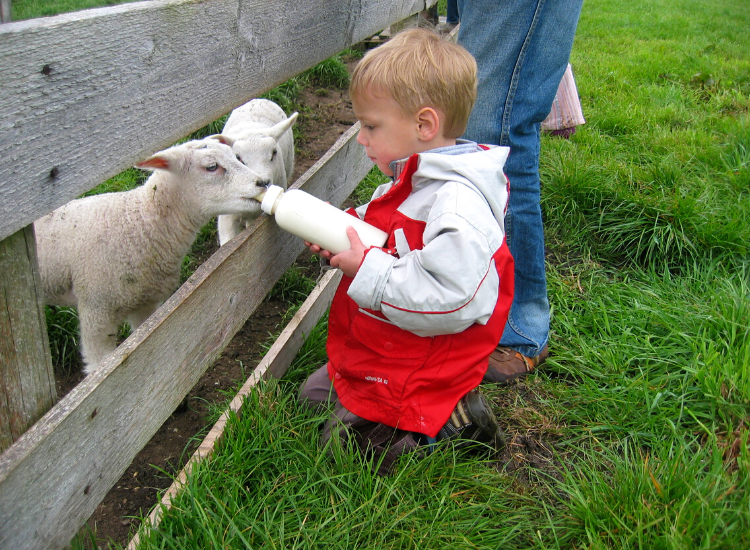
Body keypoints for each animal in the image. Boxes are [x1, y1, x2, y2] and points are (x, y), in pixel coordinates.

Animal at [34, 137, 269, 374]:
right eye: (211, 166)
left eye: (236, 157)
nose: (263, 182)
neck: (138, 223)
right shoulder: (96, 310)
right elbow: (98, 364)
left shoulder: (145, 305)